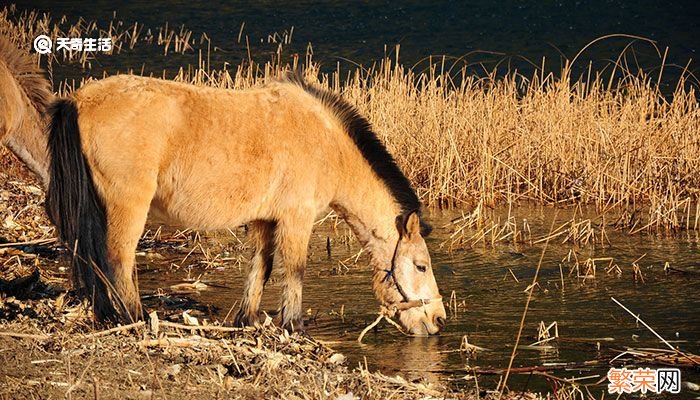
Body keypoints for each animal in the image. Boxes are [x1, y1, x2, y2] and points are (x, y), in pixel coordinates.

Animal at [1, 39, 448, 334]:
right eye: (420, 266)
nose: (438, 319)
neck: (325, 140)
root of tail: (79, 101)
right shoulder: (297, 219)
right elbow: (295, 272)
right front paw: (294, 328)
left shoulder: (266, 220)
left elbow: (260, 269)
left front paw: (246, 320)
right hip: (128, 207)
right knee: (117, 259)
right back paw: (133, 318)